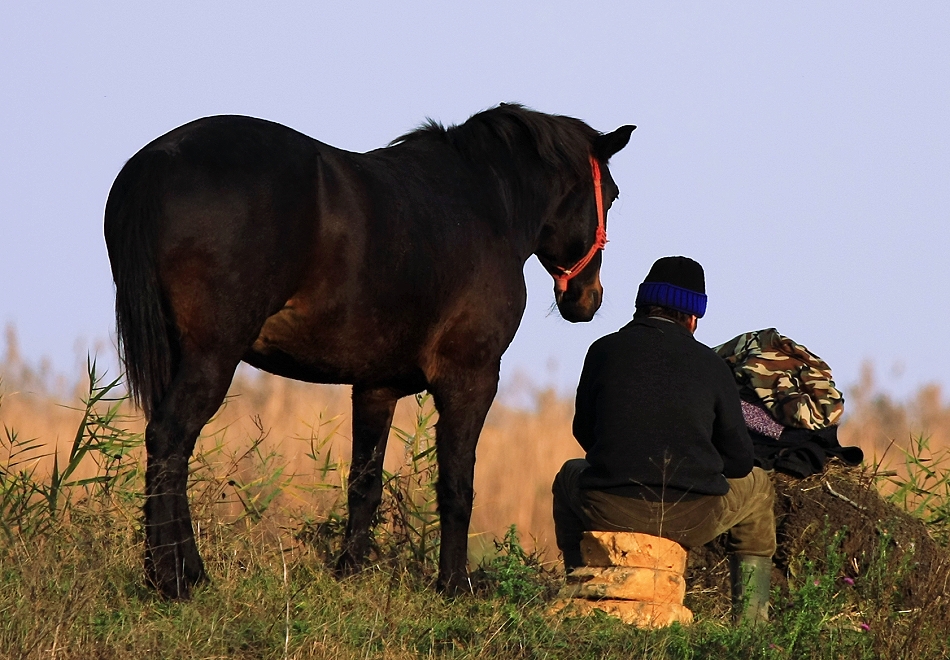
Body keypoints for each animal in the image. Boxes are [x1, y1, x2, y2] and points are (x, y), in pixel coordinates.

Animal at [106, 103, 632, 600]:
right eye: (611, 193)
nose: (587, 299)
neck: (486, 205)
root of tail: (160, 160)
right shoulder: (471, 379)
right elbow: (456, 486)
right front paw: (454, 584)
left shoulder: (376, 386)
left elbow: (364, 483)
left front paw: (350, 572)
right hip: (211, 357)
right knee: (170, 440)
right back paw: (177, 579)